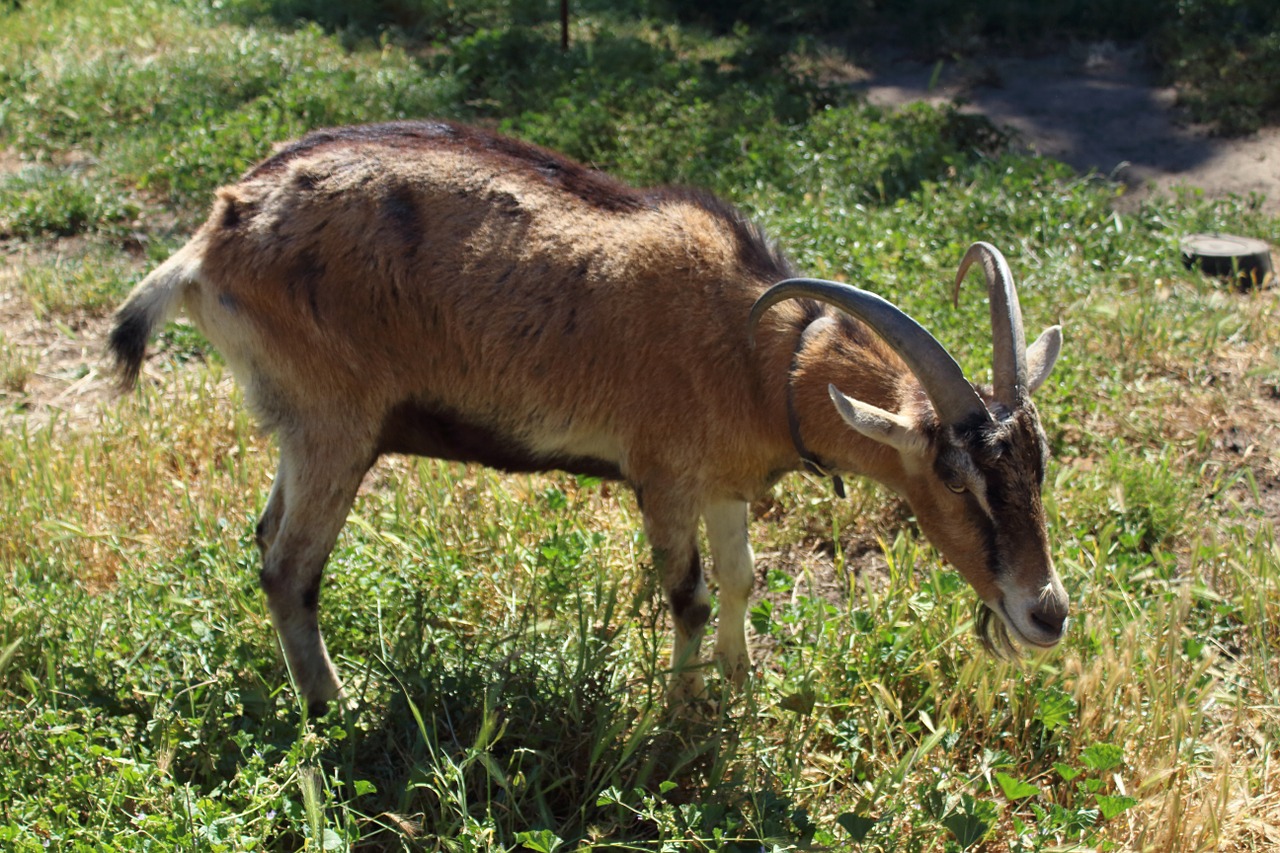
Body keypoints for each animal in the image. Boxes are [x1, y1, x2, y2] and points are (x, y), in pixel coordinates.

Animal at [112, 116, 1070, 706]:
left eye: (1038, 465)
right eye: (955, 478)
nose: (1048, 614)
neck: (758, 350)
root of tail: (211, 239)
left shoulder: (722, 481)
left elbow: (740, 579)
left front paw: (740, 686)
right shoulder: (663, 476)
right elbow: (687, 595)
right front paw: (683, 713)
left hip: (299, 426)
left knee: (265, 537)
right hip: (334, 424)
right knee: (290, 567)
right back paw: (334, 708)